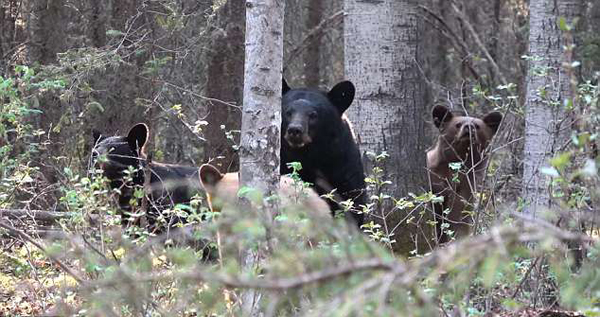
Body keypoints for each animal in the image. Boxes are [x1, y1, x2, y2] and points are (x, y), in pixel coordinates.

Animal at [424, 105, 504, 243]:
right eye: (458, 124)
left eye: (477, 125)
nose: (469, 127)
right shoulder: (435, 176)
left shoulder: (468, 185)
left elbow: (458, 215)